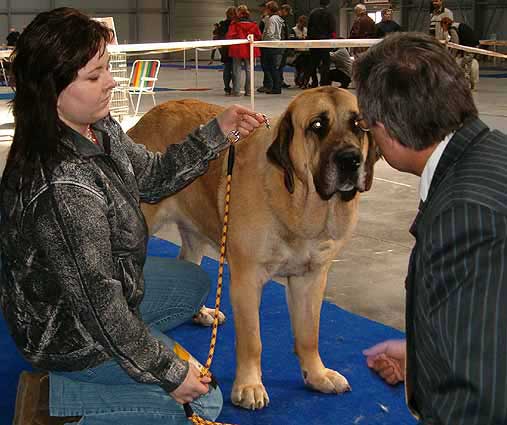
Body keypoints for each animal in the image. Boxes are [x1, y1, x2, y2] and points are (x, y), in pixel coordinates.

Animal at [129, 88, 380, 410]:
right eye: (317, 126)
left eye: (359, 125)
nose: (351, 160)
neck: (298, 200)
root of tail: (150, 116)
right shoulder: (247, 280)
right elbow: (252, 340)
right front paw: (249, 386)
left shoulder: (311, 278)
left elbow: (308, 334)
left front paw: (317, 374)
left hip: (195, 231)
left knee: (188, 260)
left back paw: (203, 313)